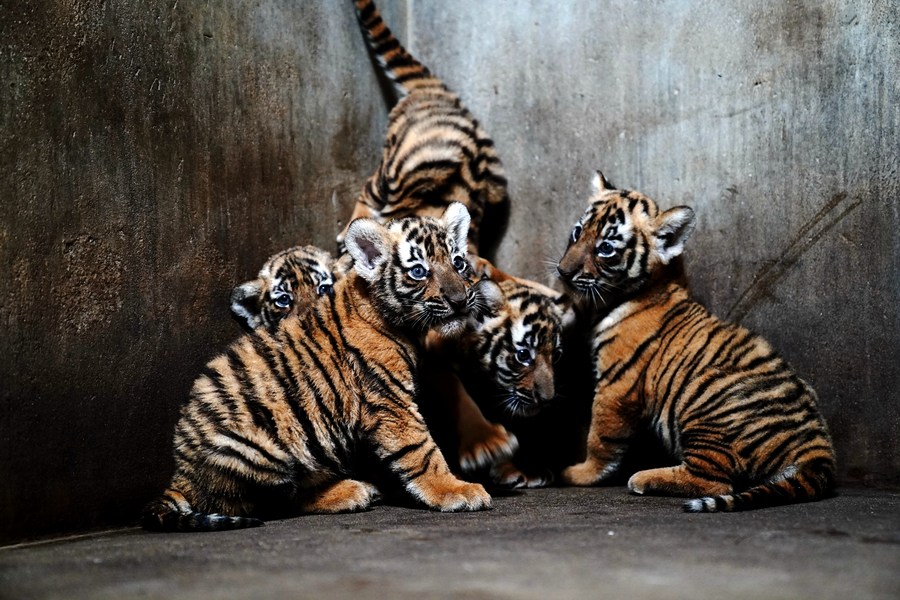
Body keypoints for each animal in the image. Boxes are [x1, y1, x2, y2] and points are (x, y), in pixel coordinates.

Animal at [142, 203, 492, 532]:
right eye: (419, 271)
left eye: (458, 262)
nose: (460, 300)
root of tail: (181, 472)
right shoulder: (389, 401)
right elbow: (422, 450)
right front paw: (456, 490)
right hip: (258, 447)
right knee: (272, 501)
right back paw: (351, 492)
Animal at [555, 171, 836, 512]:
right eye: (577, 232)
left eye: (606, 247)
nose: (563, 272)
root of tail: (818, 452)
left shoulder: (616, 385)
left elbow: (600, 438)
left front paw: (580, 473)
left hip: (703, 399)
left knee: (714, 481)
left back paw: (643, 478)